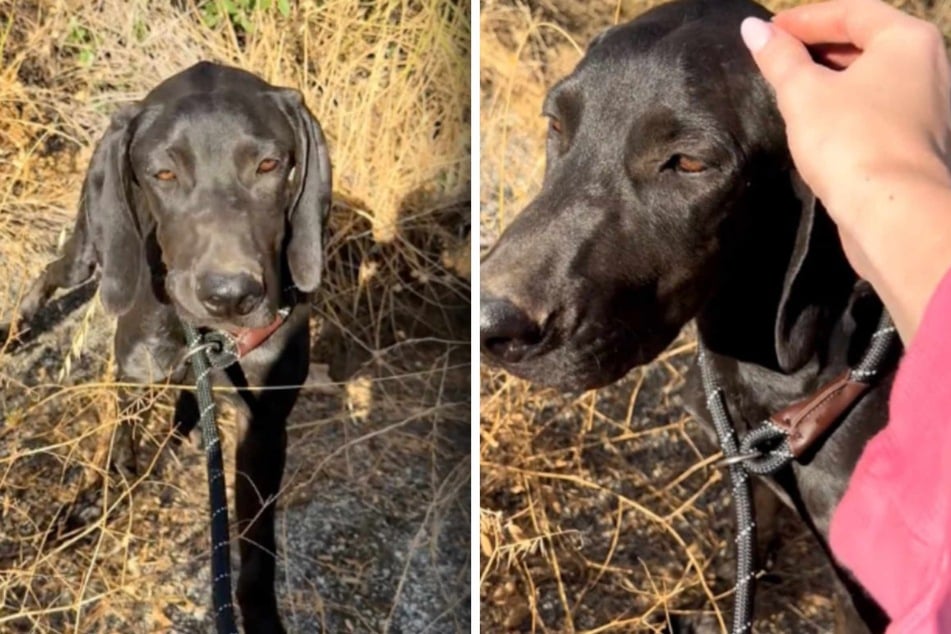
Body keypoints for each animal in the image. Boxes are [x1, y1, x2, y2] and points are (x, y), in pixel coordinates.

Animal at [10, 60, 330, 632]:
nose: (231, 297)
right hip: (90, 249)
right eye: (163, 173)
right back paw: (21, 325)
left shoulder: (264, 425)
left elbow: (257, 547)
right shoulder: (135, 375)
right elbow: (121, 454)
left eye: (269, 165)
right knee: (52, 270)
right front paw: (94, 505)